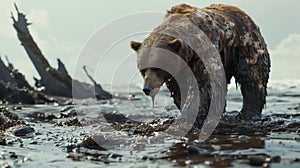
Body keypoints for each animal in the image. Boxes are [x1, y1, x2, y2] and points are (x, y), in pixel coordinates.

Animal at [130, 3, 270, 127]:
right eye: (143, 70)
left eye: (157, 68)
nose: (147, 88)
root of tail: (243, 13)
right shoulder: (178, 70)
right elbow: (180, 90)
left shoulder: (203, 54)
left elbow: (204, 87)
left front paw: (194, 116)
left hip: (246, 46)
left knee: (252, 78)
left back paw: (248, 113)